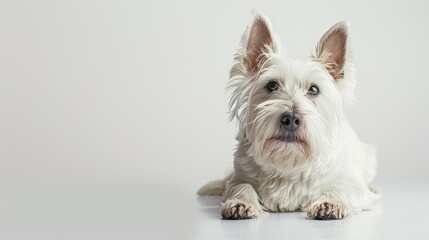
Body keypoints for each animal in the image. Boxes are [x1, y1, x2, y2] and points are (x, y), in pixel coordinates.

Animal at [197, 12, 378, 220]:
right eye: (272, 85)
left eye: (314, 89)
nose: (291, 119)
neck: (289, 162)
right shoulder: (241, 175)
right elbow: (240, 186)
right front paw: (240, 203)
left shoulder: (351, 182)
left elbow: (343, 188)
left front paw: (330, 203)